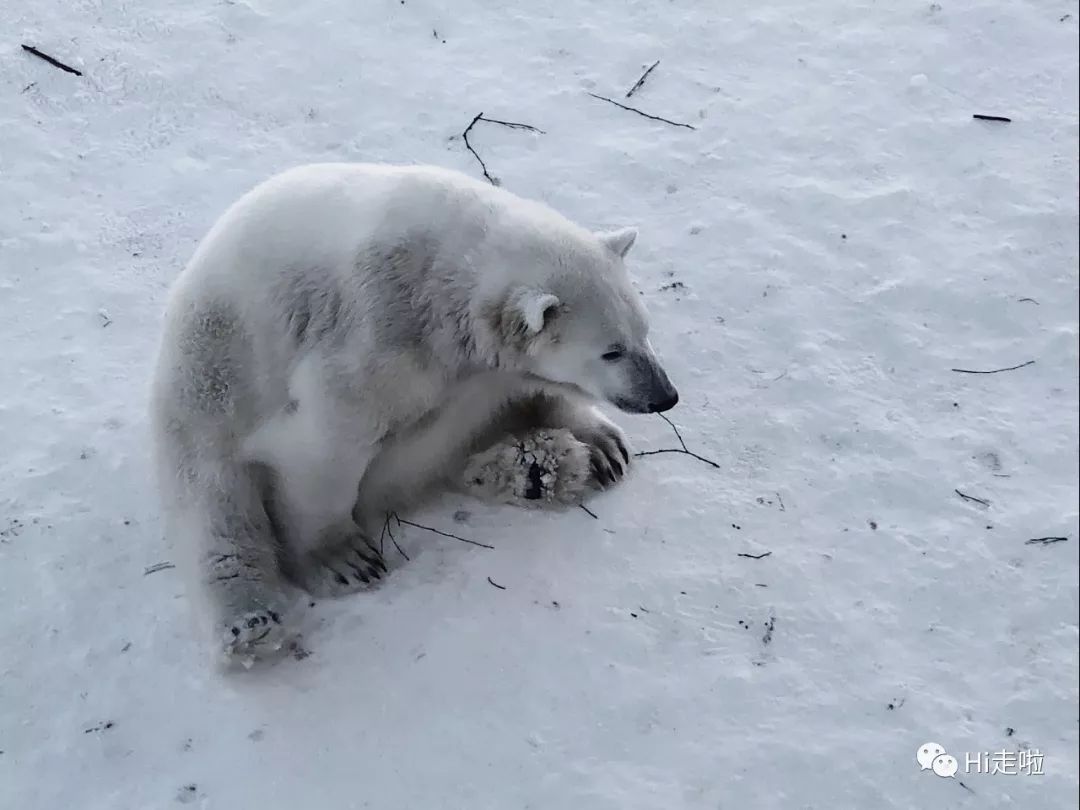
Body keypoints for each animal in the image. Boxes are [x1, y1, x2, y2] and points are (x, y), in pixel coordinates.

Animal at [149, 162, 678, 660]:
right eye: (611, 351)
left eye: (644, 330)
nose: (664, 396)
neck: (444, 283)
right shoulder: (375, 337)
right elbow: (325, 449)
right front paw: (342, 560)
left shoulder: (477, 370)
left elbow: (530, 388)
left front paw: (605, 444)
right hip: (210, 384)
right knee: (215, 506)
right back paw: (251, 625)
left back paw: (539, 468)